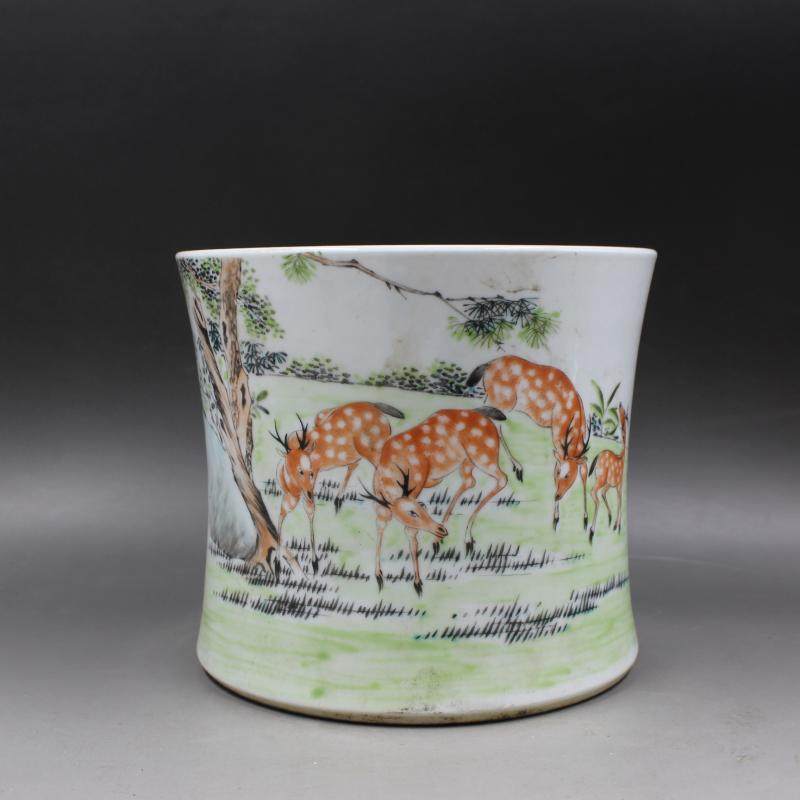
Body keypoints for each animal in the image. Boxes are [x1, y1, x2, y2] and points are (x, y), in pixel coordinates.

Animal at [270, 401, 404, 573]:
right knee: (355, 465)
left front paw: (315, 563)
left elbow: (310, 511)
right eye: (298, 470)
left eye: (310, 472)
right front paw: (277, 564)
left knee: (383, 468)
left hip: (370, 447)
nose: (309, 493)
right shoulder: (290, 494)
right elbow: (282, 514)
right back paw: (338, 501)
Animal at [361, 406, 509, 595]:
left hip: (483, 455)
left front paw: (417, 583)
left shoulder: (417, 485)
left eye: (421, 507)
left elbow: (411, 534)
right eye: (414, 511)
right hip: (467, 461)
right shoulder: (383, 505)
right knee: (470, 481)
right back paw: (442, 540)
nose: (440, 529)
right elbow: (381, 526)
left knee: (502, 478)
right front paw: (379, 576)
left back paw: (465, 538)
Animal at [467, 355, 591, 532]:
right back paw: (517, 467)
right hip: (504, 400)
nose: (557, 495)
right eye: (559, 474)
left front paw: (585, 521)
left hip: (493, 398)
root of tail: (488, 364)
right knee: (493, 421)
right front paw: (556, 519)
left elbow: (585, 472)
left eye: (567, 475)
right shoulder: (557, 435)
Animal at [588, 404, 628, 542]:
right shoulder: (619, 484)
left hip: (601, 480)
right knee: (593, 492)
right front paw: (617, 525)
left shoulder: (611, 485)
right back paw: (591, 531)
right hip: (601, 479)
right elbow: (619, 499)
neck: (621, 457)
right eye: (625, 416)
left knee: (597, 494)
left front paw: (611, 520)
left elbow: (606, 494)